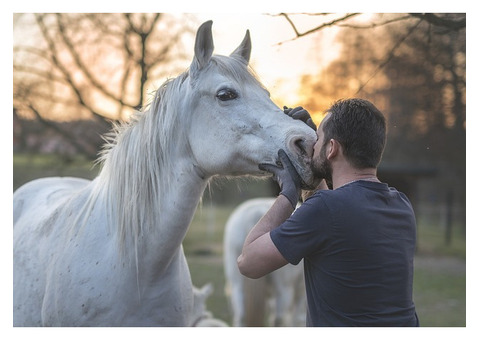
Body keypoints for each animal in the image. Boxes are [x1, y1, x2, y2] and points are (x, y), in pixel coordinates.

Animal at [224, 198, 306, 328]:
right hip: (284, 289)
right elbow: (295, 319)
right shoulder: (301, 293)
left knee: (241, 316)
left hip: (237, 285)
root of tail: (255, 213)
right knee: (278, 319)